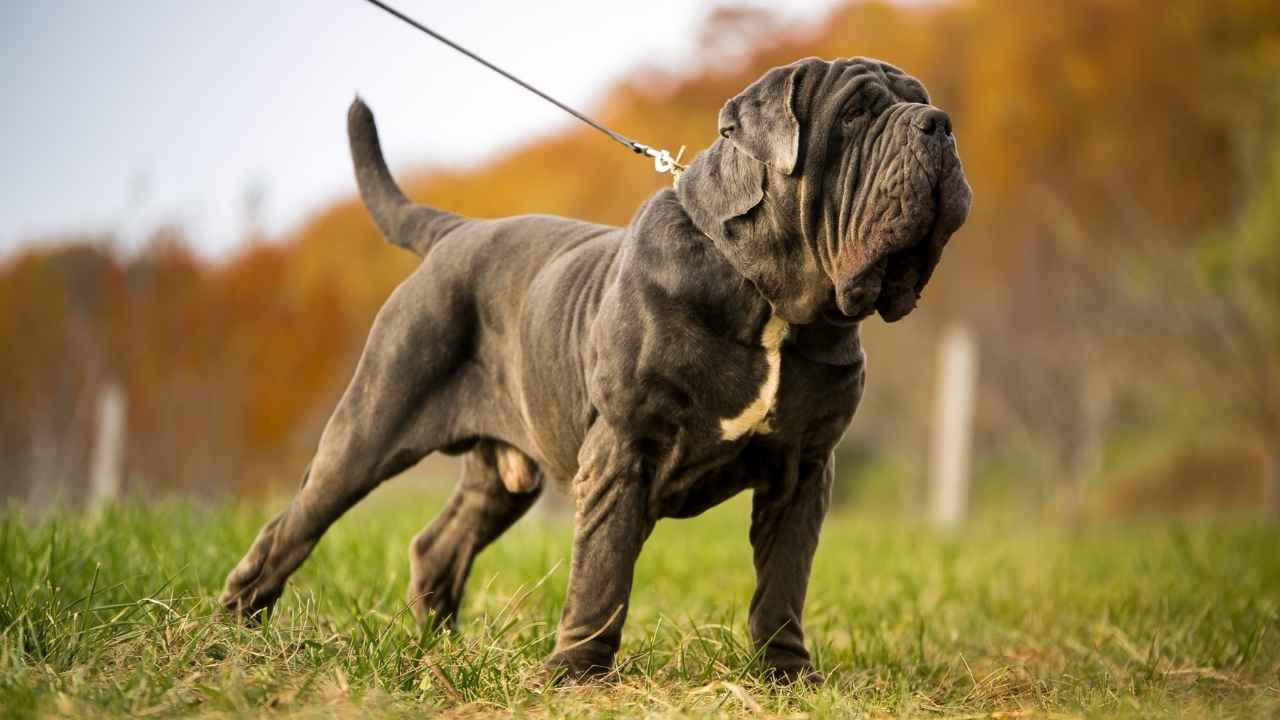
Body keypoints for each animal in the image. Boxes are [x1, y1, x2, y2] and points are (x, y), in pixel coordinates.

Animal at [222, 56, 967, 676]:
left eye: (920, 102)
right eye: (856, 113)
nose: (939, 124)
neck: (768, 297)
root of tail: (455, 231)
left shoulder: (804, 469)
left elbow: (783, 581)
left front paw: (787, 676)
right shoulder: (623, 450)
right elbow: (603, 570)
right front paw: (577, 674)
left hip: (502, 475)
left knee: (438, 545)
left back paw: (440, 650)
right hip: (369, 426)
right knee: (291, 527)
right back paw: (234, 633)